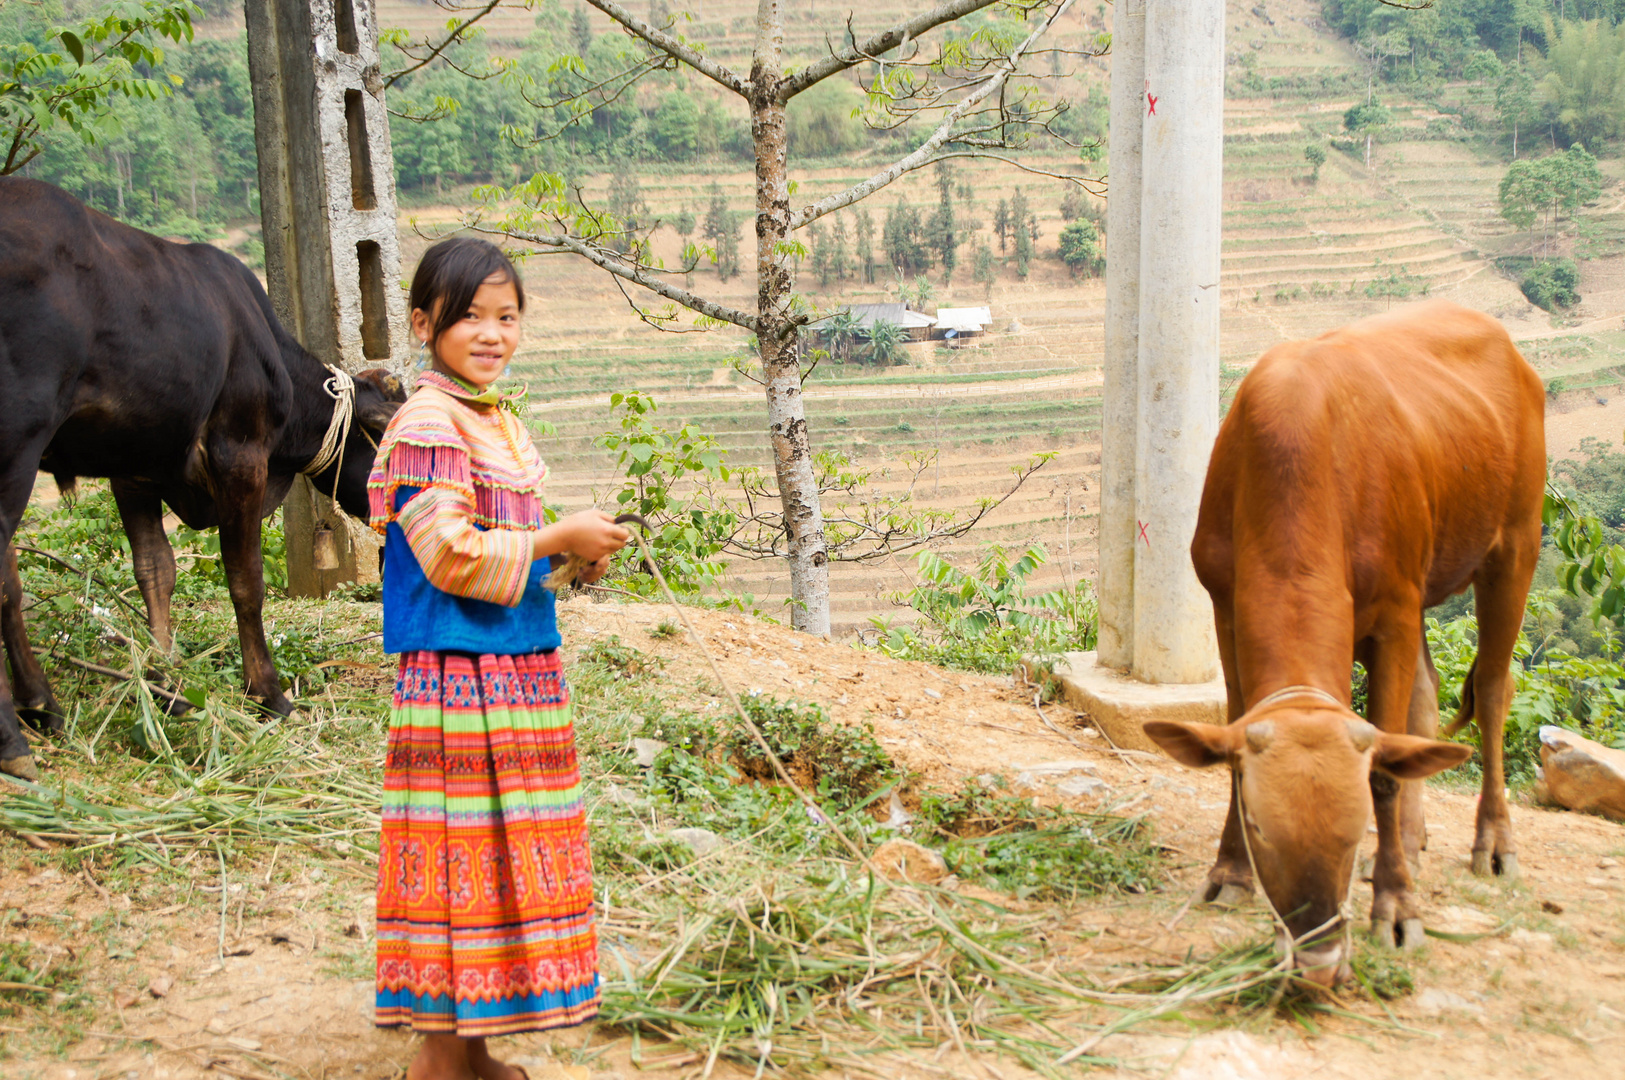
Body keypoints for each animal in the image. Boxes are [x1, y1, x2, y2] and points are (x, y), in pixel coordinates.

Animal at [0, 181, 404, 779]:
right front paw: (268, 693)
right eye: (387, 432)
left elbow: (155, 571)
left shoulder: (135, 471)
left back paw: (40, 708)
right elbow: (246, 579)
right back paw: (20, 729)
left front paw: (167, 685)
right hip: (18, 440)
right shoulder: (240, 455)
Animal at [1150, 298, 1540, 980]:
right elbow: (1234, 737)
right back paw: (1410, 837)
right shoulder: (1224, 603)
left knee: (1492, 688)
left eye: (1354, 829)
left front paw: (1397, 906)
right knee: (1427, 698)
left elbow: (1384, 774)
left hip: (1516, 543)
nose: (1319, 956)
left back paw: (1492, 842)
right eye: (1260, 827)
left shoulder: (1396, 610)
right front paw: (1230, 873)